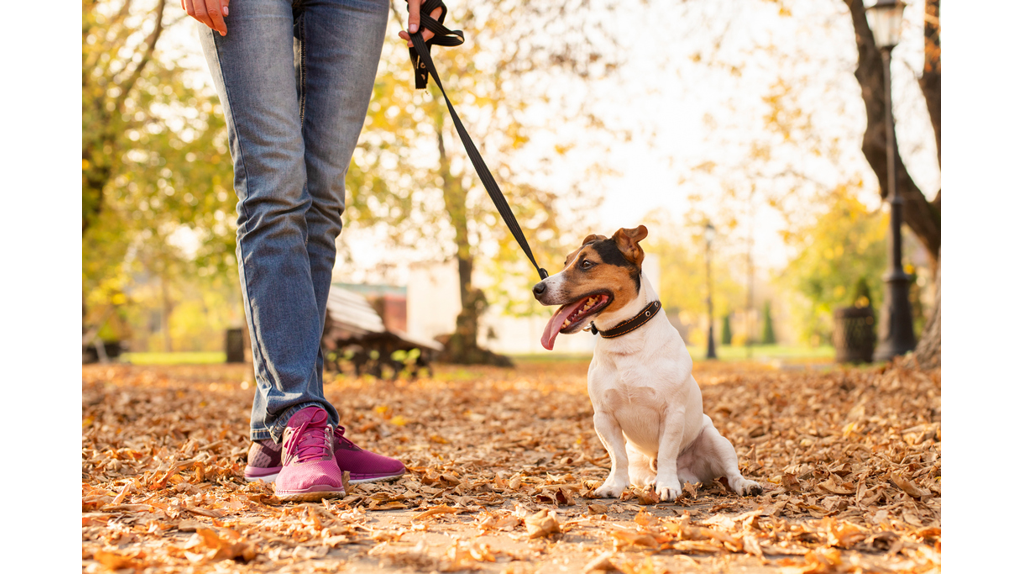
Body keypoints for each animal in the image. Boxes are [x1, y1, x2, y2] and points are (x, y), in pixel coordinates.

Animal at [536, 226, 761, 499]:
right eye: (565, 262)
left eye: (586, 263)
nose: (537, 288)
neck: (625, 337)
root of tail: (691, 477)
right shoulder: (603, 417)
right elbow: (617, 457)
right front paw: (613, 485)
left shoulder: (672, 413)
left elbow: (666, 453)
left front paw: (667, 485)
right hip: (639, 461)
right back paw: (651, 483)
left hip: (717, 440)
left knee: (731, 473)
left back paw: (744, 485)